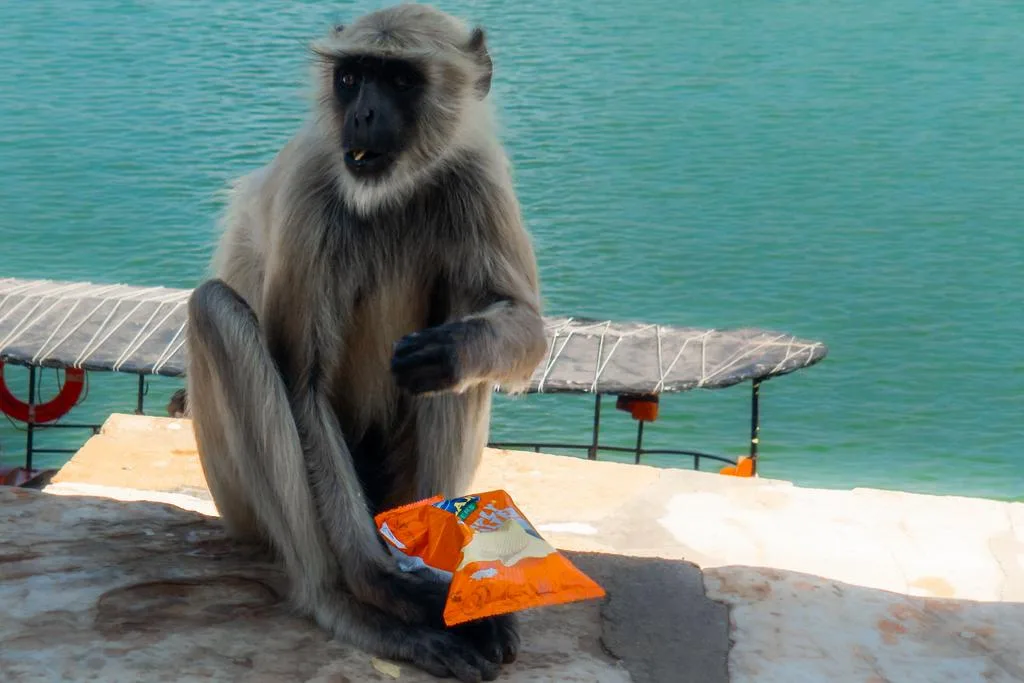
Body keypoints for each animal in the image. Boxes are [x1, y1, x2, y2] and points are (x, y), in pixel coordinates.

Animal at [183, 5, 548, 682]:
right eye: (351, 78)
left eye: (400, 81)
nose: (364, 114)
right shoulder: (311, 181)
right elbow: (302, 388)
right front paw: (385, 589)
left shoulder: (476, 174)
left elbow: (520, 329)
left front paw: (456, 350)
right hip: (240, 505)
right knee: (217, 312)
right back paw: (349, 603)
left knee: (454, 348)